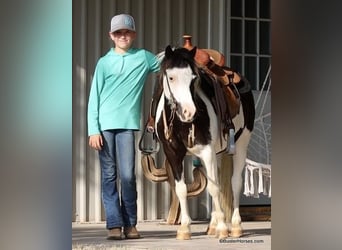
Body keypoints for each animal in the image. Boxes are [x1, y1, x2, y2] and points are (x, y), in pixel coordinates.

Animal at [154, 46, 255, 239]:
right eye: (171, 77)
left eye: (194, 78)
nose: (189, 112)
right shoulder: (172, 152)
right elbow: (181, 189)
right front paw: (184, 228)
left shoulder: (207, 150)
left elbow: (214, 188)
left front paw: (223, 228)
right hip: (216, 154)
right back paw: (212, 226)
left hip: (241, 145)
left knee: (235, 183)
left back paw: (235, 226)